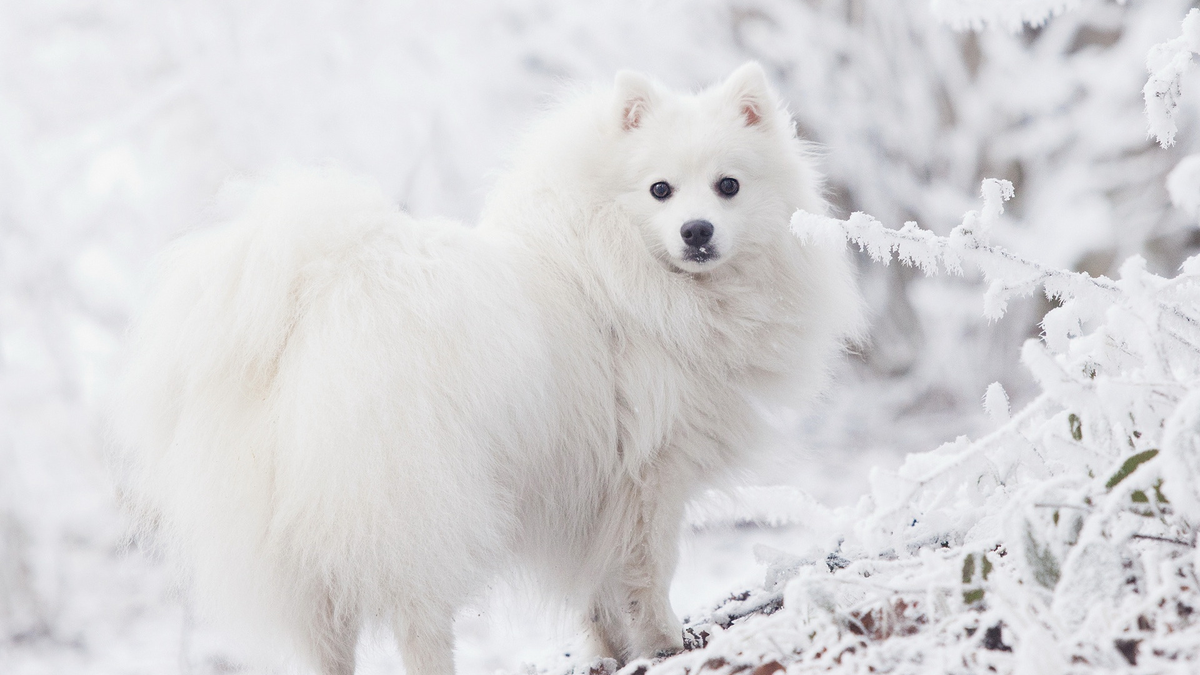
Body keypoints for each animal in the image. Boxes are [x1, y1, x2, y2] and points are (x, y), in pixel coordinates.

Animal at [108, 64, 864, 672]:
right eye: (660, 190)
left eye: (728, 186)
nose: (697, 231)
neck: (619, 265)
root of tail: (312, 299)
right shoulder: (651, 475)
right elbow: (646, 573)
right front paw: (665, 644)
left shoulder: (586, 488)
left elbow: (594, 591)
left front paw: (612, 652)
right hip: (416, 504)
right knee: (418, 622)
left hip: (303, 546)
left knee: (327, 645)